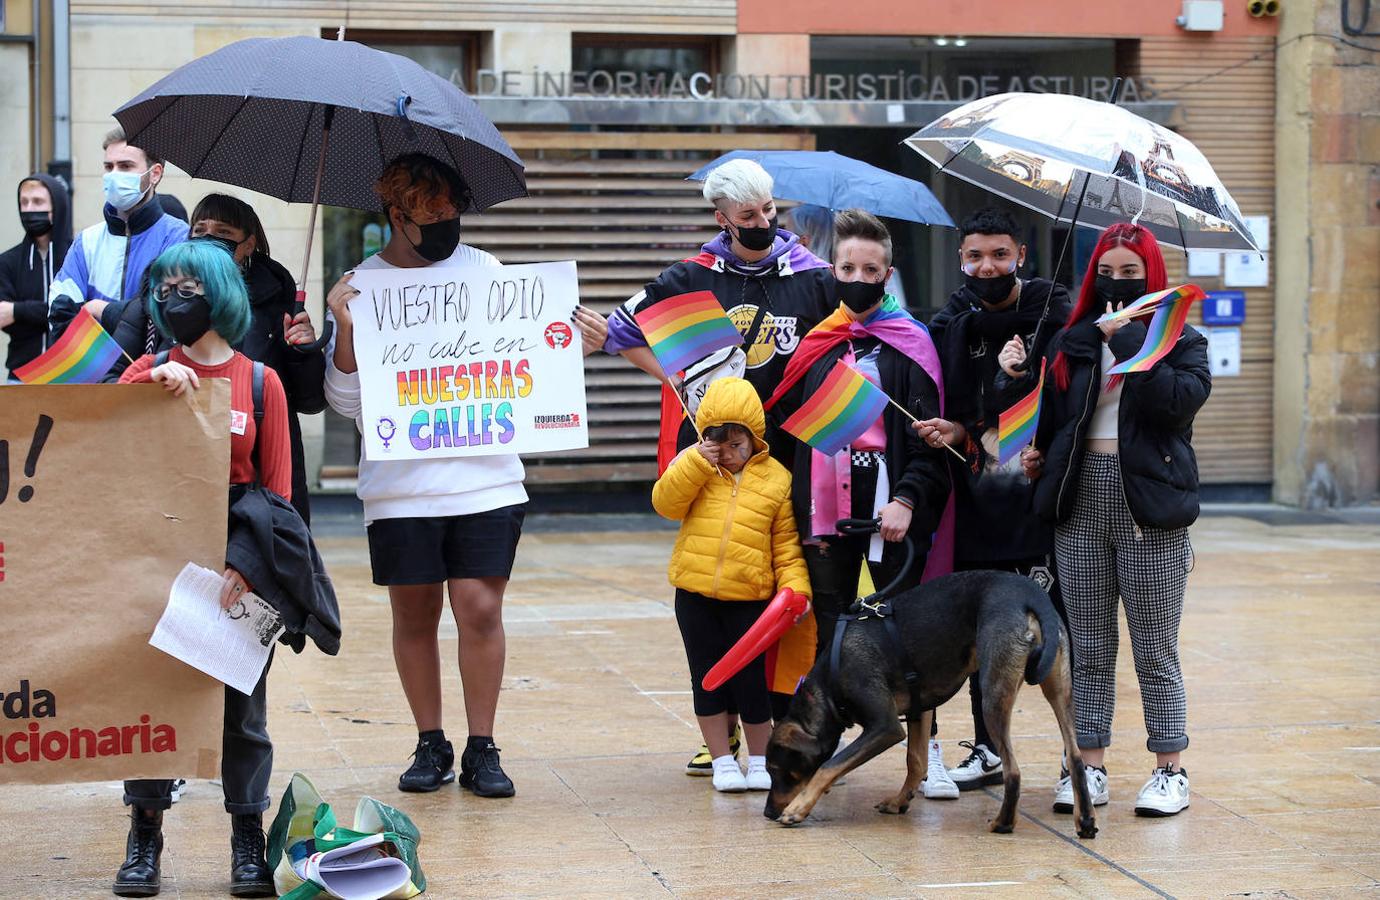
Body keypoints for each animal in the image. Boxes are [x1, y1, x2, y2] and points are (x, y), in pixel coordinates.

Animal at [761, 568, 1092, 839]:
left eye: (777, 770)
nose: (767, 813)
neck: (827, 687)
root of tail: (1030, 594)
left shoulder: (885, 727)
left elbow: (829, 766)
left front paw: (798, 808)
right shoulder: (920, 709)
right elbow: (916, 761)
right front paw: (899, 801)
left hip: (993, 694)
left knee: (1013, 771)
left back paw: (1004, 823)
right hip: (1059, 685)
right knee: (1076, 757)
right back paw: (1085, 821)